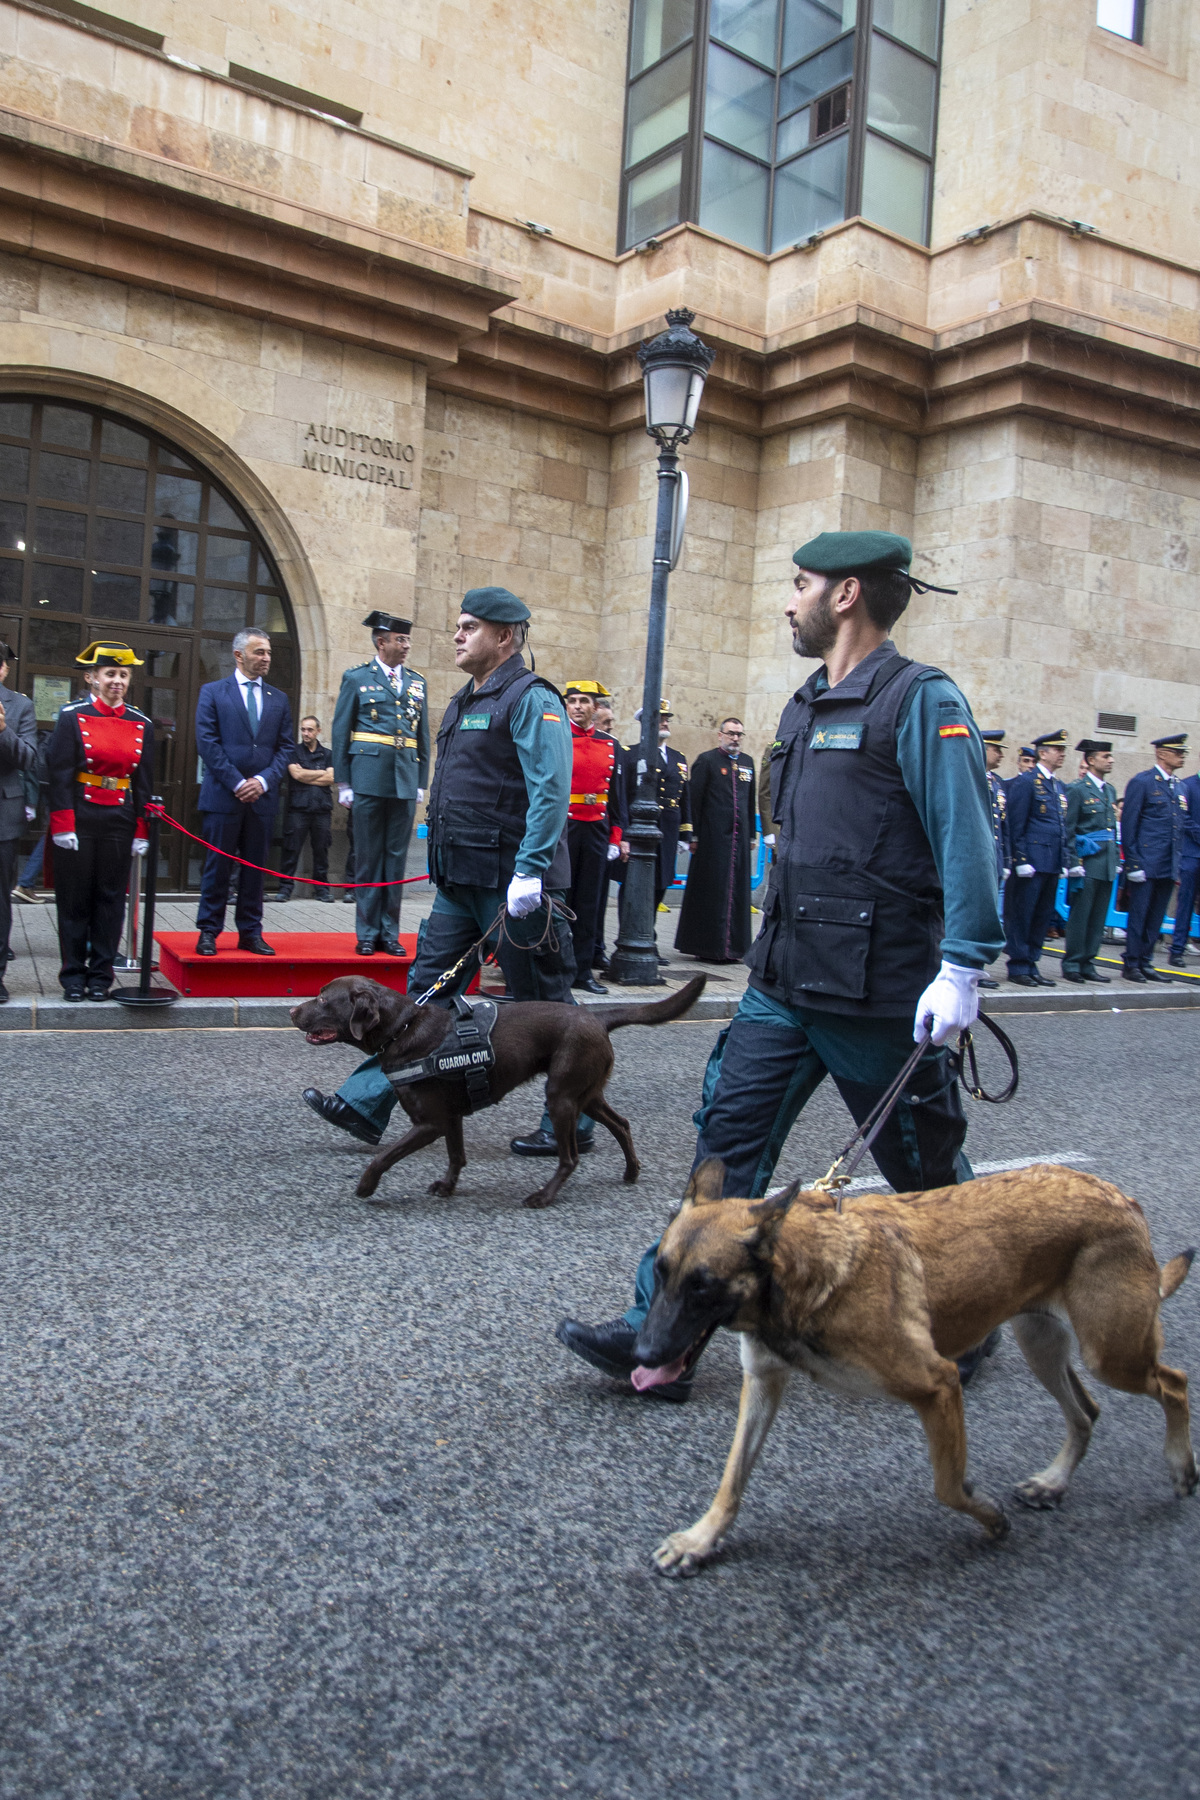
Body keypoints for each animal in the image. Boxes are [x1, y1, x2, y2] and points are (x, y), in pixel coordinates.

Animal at [633, 1159, 1194, 1569]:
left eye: (702, 1286)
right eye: (660, 1272)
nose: (643, 1356)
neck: (803, 1277)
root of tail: (1116, 1194)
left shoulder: (938, 1387)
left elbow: (948, 1485)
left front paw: (988, 1517)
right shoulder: (763, 1385)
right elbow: (731, 1481)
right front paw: (700, 1540)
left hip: (1110, 1354)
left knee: (1174, 1383)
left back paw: (1181, 1466)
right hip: (1042, 1346)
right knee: (1087, 1412)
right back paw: (1054, 1481)